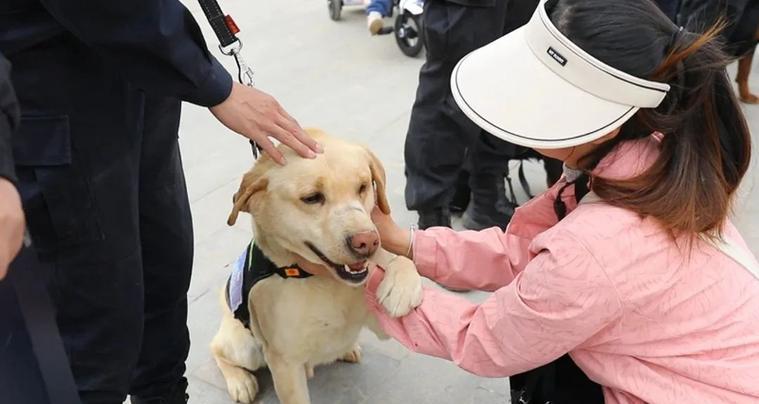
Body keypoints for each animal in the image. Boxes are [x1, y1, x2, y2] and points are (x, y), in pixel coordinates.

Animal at [211, 129, 424, 404]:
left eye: (363, 187)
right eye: (312, 198)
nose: (367, 242)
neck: (322, 282)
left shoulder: (383, 324)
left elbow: (401, 260)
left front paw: (401, 288)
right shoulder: (285, 363)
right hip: (245, 348)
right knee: (217, 349)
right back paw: (240, 382)